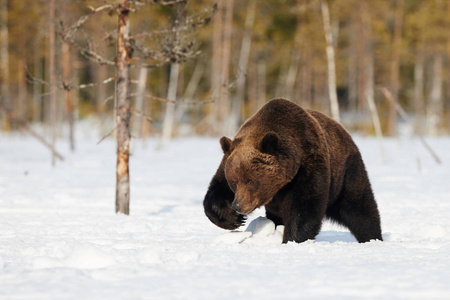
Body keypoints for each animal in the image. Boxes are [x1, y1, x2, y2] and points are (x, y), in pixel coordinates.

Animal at [204, 98, 384, 244]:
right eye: (234, 182)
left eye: (250, 181)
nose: (238, 206)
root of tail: (344, 131)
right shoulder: (228, 161)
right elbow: (216, 190)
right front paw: (233, 219)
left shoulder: (307, 166)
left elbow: (304, 207)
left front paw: (291, 240)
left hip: (345, 173)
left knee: (358, 208)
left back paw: (372, 238)